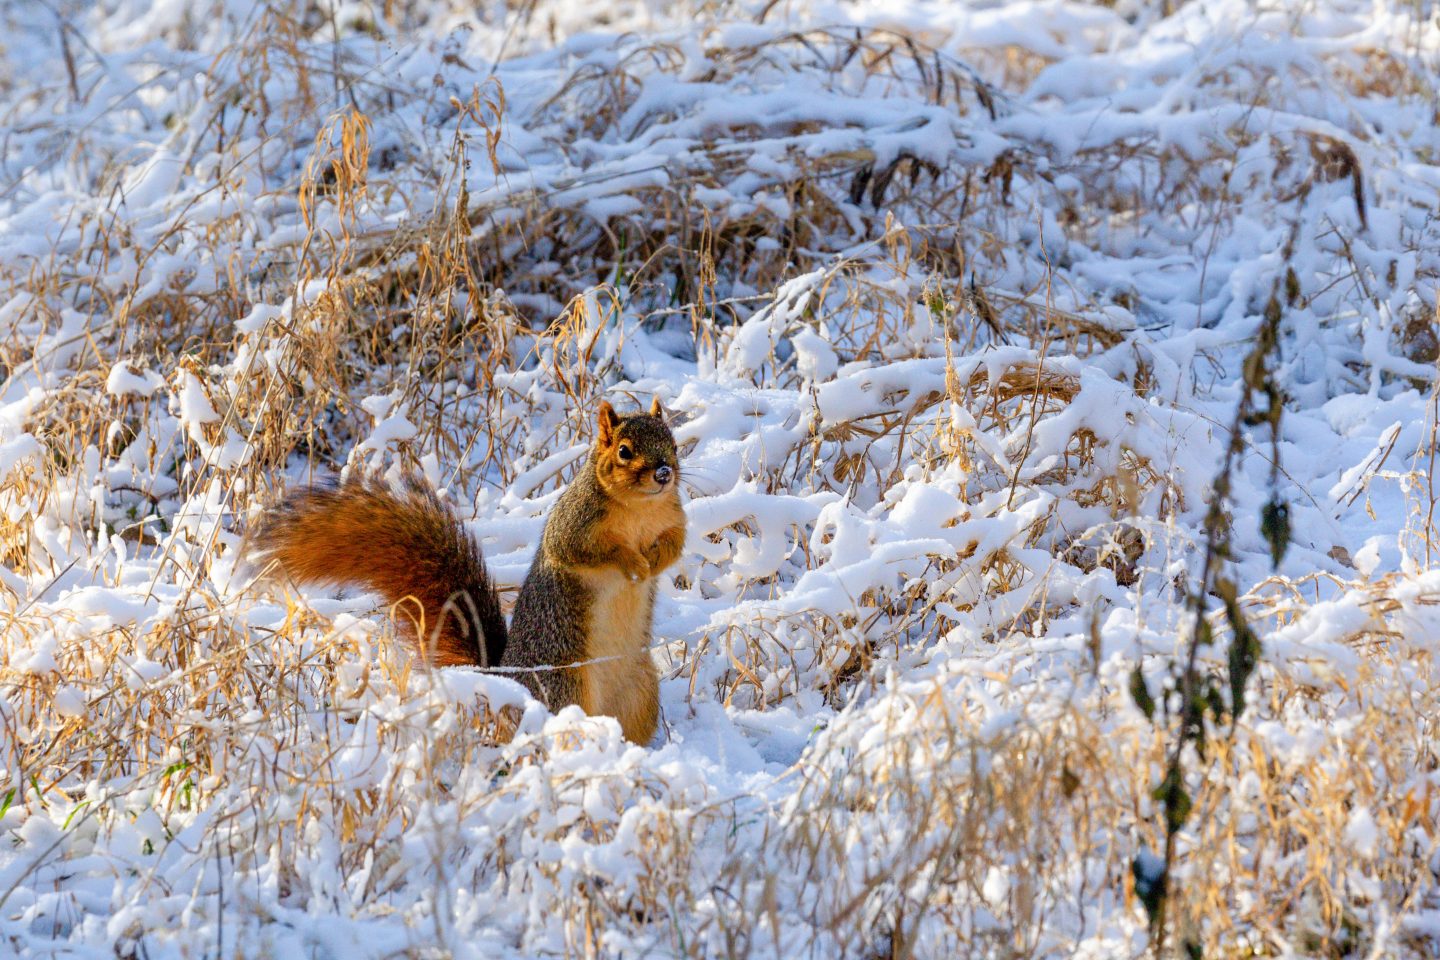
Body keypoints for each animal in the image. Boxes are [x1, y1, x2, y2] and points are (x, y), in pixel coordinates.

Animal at [247, 397, 685, 742]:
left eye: (674, 444)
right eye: (624, 451)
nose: (664, 474)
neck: (639, 510)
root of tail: (501, 675)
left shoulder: (673, 518)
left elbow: (676, 544)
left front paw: (654, 562)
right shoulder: (574, 523)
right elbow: (584, 550)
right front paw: (633, 562)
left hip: (641, 694)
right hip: (564, 686)